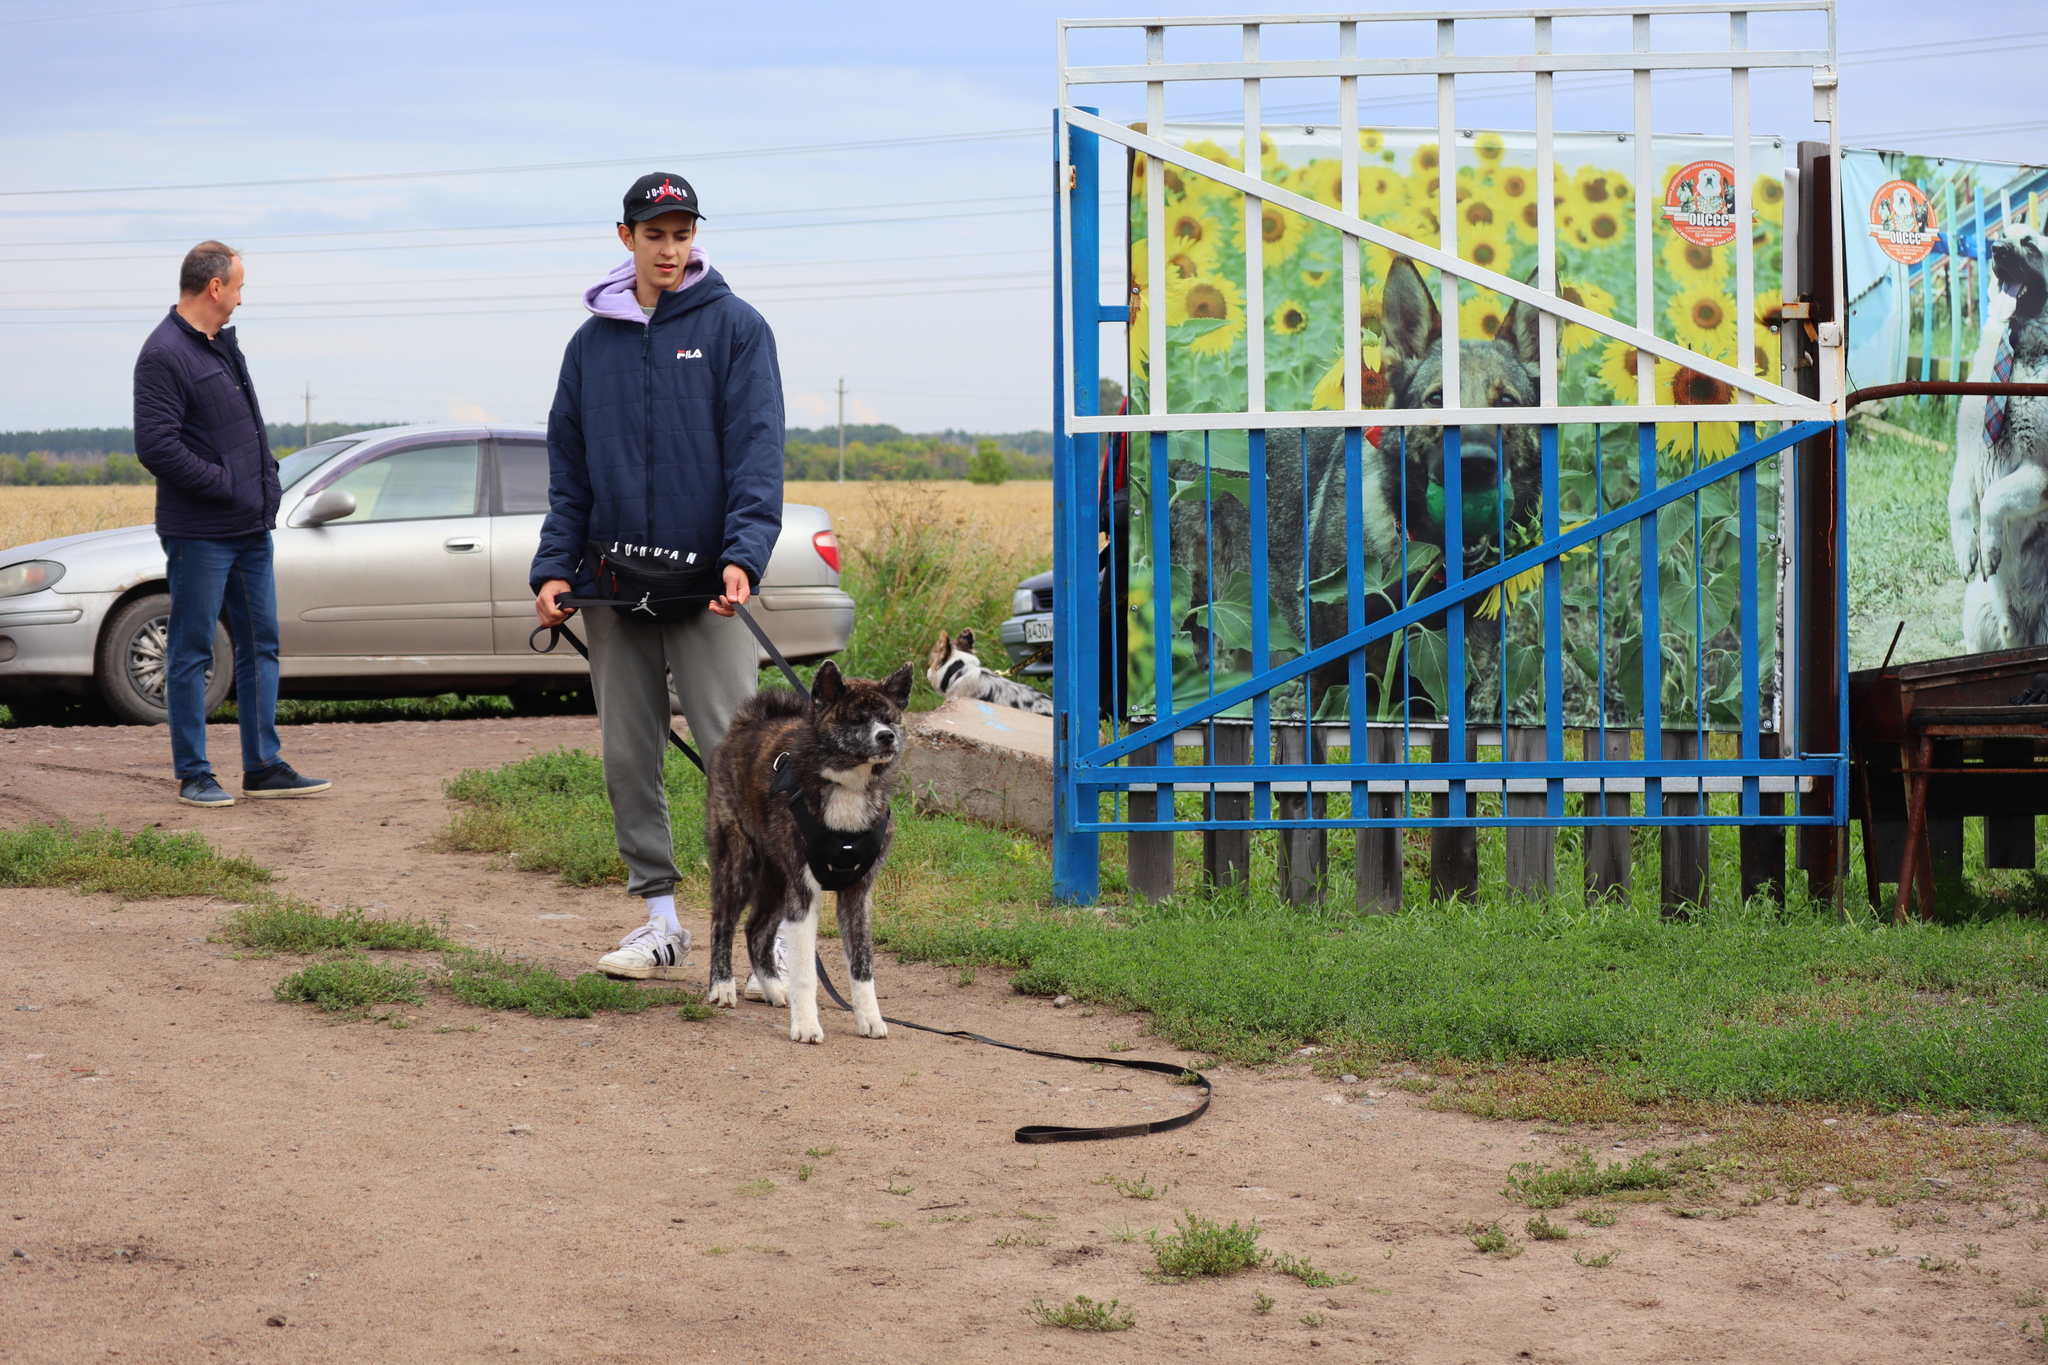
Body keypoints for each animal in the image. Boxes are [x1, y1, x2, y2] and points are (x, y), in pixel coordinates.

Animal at [704, 663, 913, 1047]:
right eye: (857, 720)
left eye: (889, 718)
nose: (887, 737)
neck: (848, 787)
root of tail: (749, 723)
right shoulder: (803, 893)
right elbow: (805, 974)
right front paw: (805, 1025)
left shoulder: (858, 895)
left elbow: (863, 967)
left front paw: (869, 1018)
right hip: (740, 863)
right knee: (722, 923)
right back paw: (722, 986)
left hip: (775, 878)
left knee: (756, 930)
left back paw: (773, 988)